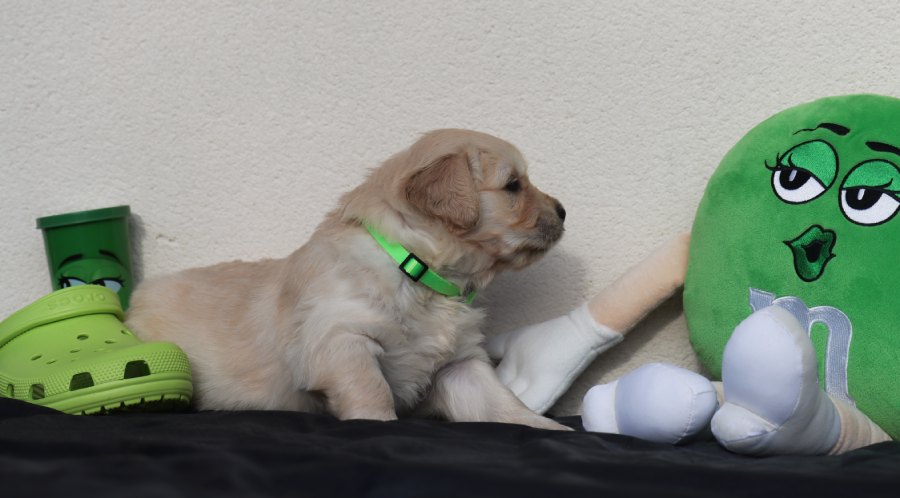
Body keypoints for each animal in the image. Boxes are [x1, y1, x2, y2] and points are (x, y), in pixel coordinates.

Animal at [126, 129, 568, 430]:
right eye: (513, 185)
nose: (564, 210)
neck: (418, 273)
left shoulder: (460, 364)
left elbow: (503, 402)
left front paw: (552, 428)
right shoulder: (341, 339)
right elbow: (371, 391)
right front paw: (381, 424)